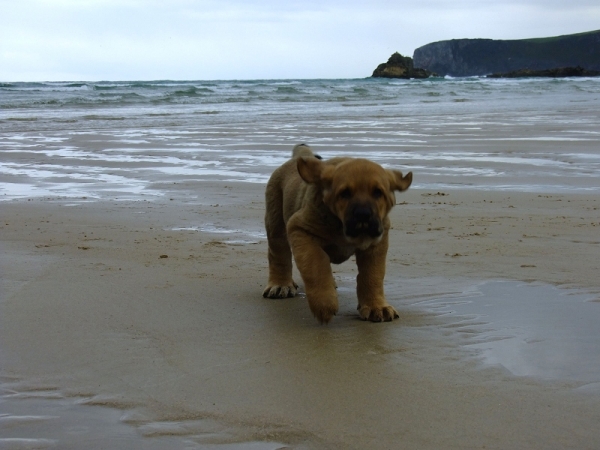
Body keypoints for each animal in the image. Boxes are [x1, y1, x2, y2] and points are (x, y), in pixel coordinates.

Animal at [262, 144, 412, 324]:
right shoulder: (300, 229)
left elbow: (373, 274)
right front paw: (324, 304)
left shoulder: (376, 243)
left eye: (378, 192)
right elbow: (316, 265)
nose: (363, 214)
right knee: (278, 255)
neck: (341, 227)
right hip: (276, 223)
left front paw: (376, 307)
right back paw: (280, 285)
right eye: (345, 193)